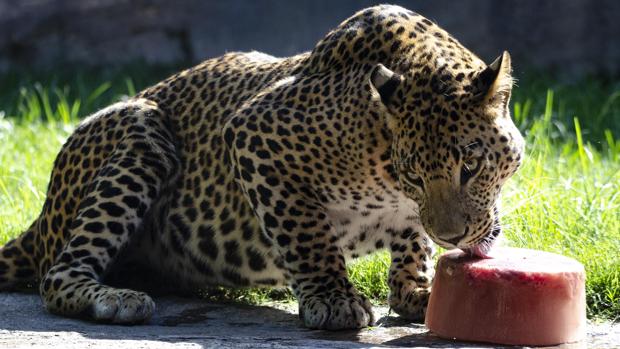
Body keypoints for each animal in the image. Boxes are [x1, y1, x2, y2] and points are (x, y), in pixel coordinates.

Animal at [0, 5, 524, 328]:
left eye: (471, 165)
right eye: (415, 175)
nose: (453, 237)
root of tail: (40, 220)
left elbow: (412, 238)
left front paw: (416, 289)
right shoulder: (255, 133)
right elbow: (306, 234)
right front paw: (333, 299)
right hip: (140, 129)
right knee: (57, 276)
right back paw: (115, 299)